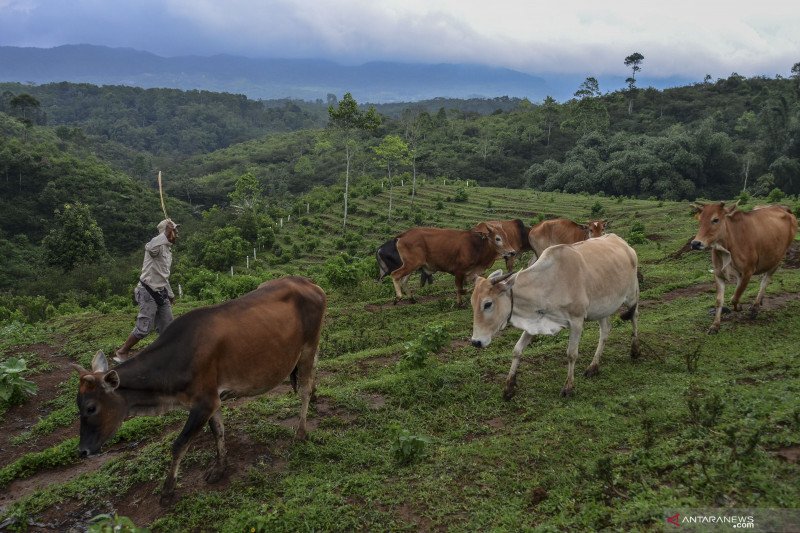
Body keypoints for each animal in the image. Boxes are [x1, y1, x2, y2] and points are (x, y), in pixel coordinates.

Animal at [72, 276, 326, 504]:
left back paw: (301, 431)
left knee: (304, 387)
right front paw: (220, 468)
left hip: (308, 346)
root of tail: (309, 283)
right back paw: (315, 397)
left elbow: (179, 444)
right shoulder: (213, 400)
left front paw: (168, 490)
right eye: (78, 405)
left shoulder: (204, 403)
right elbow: (218, 432)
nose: (82, 451)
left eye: (91, 408)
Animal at [382, 221, 520, 306]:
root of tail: (403, 235)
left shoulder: (473, 272)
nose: (512, 252)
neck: (477, 246)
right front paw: (460, 303)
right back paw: (398, 297)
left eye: (506, 236)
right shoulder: (459, 271)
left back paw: (412, 298)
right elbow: (459, 288)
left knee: (404, 280)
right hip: (412, 264)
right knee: (395, 275)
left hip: (413, 265)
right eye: (498, 238)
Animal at [472, 234, 640, 400]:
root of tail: (622, 242)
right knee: (605, 331)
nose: (475, 342)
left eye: (488, 304)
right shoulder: (534, 322)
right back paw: (593, 367)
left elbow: (571, 354)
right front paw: (509, 387)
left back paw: (635, 351)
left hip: (632, 296)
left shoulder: (577, 321)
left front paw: (568, 387)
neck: (548, 282)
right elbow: (517, 350)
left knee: (634, 317)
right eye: (472, 303)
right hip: (602, 307)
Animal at [692, 203, 796, 332]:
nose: (695, 243)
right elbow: (720, 300)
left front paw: (739, 307)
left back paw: (755, 307)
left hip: (777, 258)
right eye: (700, 220)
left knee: (765, 281)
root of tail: (783, 208)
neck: (729, 245)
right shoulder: (719, 273)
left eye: (715, 220)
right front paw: (715, 325)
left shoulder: (748, 271)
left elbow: (735, 296)